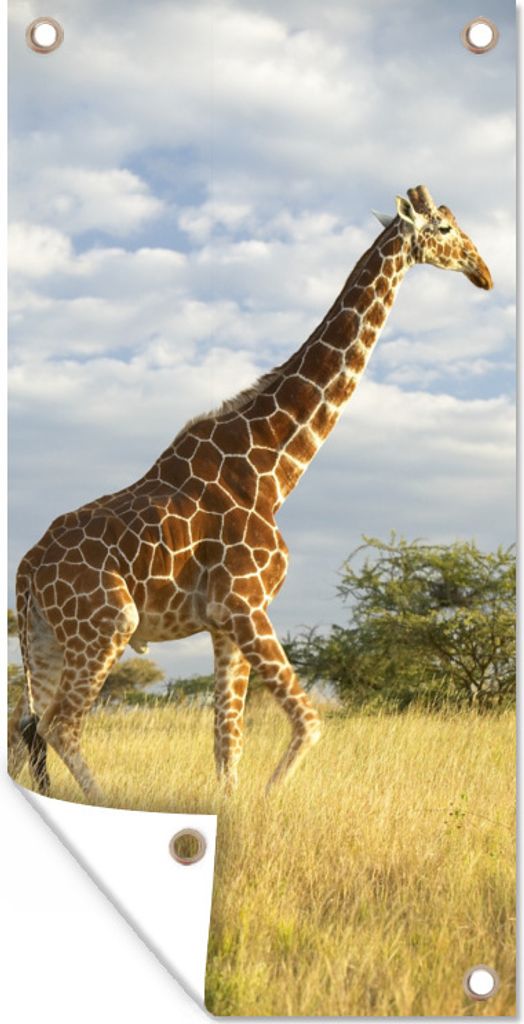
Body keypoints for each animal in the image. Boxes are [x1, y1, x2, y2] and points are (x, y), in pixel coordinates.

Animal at [9, 185, 493, 801]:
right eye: (446, 228)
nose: (485, 273)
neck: (274, 468)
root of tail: (27, 568)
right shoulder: (244, 603)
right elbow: (308, 722)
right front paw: (265, 800)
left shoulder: (222, 621)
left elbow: (227, 741)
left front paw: (233, 805)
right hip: (106, 623)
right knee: (60, 724)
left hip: (46, 637)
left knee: (22, 725)